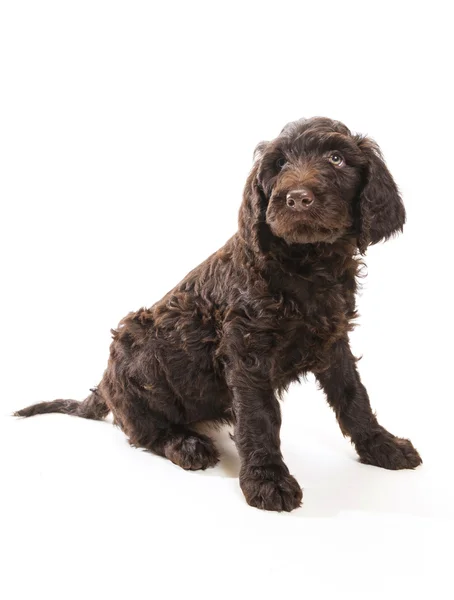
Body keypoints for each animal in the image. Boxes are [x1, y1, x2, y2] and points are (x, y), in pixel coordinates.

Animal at [15, 117, 422, 510]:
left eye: (336, 159)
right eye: (279, 165)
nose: (297, 199)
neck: (307, 263)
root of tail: (106, 381)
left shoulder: (333, 338)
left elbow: (354, 396)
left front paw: (381, 446)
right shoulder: (247, 350)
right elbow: (260, 417)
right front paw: (267, 481)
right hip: (136, 346)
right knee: (141, 428)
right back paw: (185, 444)